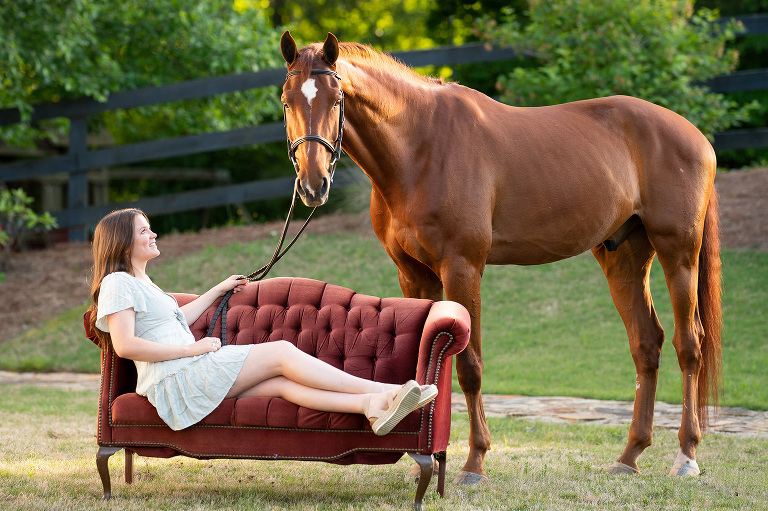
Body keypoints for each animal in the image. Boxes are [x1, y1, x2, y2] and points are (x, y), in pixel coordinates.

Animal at [280, 32, 724, 484]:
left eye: (336, 98)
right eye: (287, 100)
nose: (313, 185)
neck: (420, 148)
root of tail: (695, 136)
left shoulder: (462, 269)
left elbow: (469, 366)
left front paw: (474, 462)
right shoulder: (413, 274)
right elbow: (426, 365)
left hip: (679, 255)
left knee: (690, 344)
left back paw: (686, 455)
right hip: (624, 258)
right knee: (646, 344)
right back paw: (629, 456)